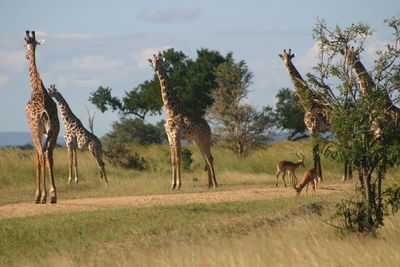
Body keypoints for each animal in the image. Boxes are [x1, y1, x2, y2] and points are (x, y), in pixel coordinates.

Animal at [148, 52, 216, 191]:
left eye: (160, 61)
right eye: (152, 62)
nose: (155, 69)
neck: (171, 110)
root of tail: (209, 127)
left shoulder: (176, 135)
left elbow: (179, 159)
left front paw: (178, 184)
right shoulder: (169, 136)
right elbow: (173, 160)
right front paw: (172, 185)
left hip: (205, 139)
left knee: (210, 158)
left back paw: (215, 184)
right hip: (197, 141)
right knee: (206, 159)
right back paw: (209, 184)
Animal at [278, 49, 332, 181]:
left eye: (290, 57)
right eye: (282, 57)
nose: (286, 64)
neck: (308, 103)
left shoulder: (312, 129)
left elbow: (314, 153)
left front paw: (317, 176)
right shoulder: (315, 130)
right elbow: (317, 153)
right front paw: (319, 175)